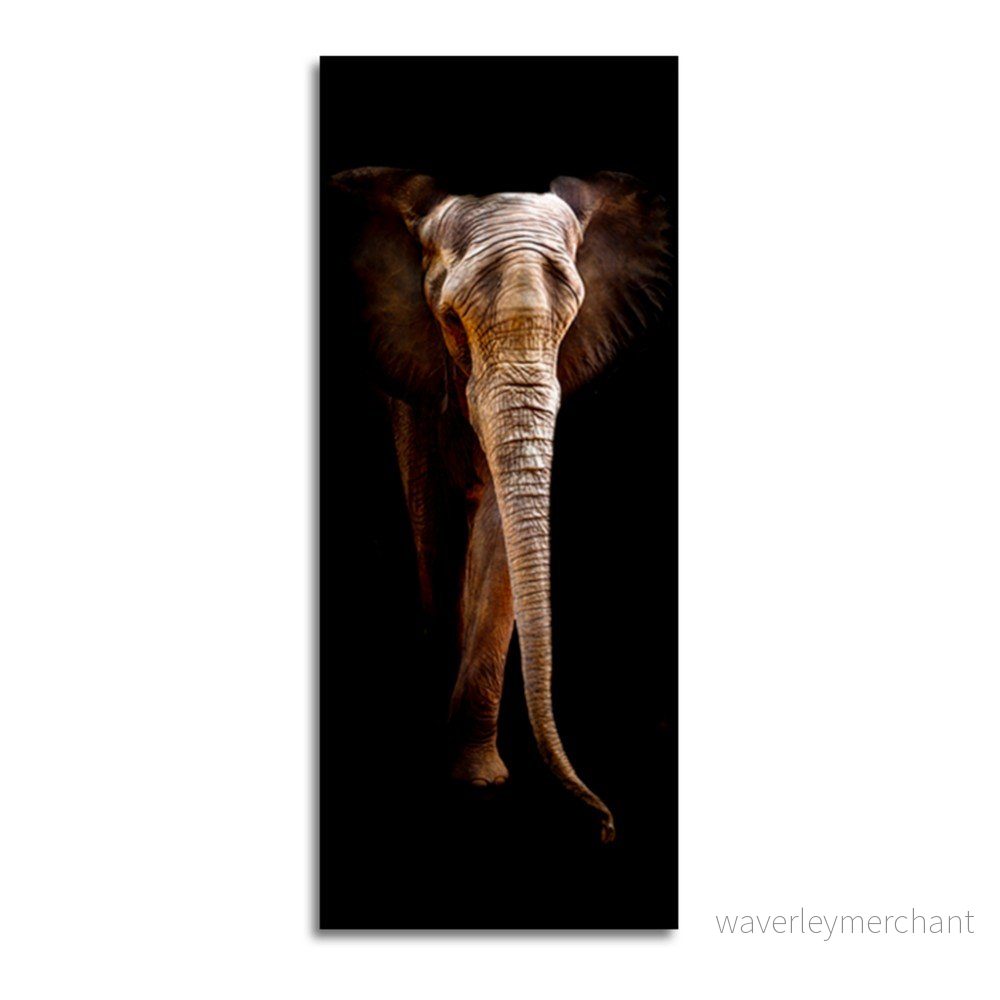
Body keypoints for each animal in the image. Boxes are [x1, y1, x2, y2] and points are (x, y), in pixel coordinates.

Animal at [329, 167, 670, 843]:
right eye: (450, 318)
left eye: (571, 320)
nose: (605, 826)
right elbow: (430, 511)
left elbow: (498, 531)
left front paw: (476, 780)